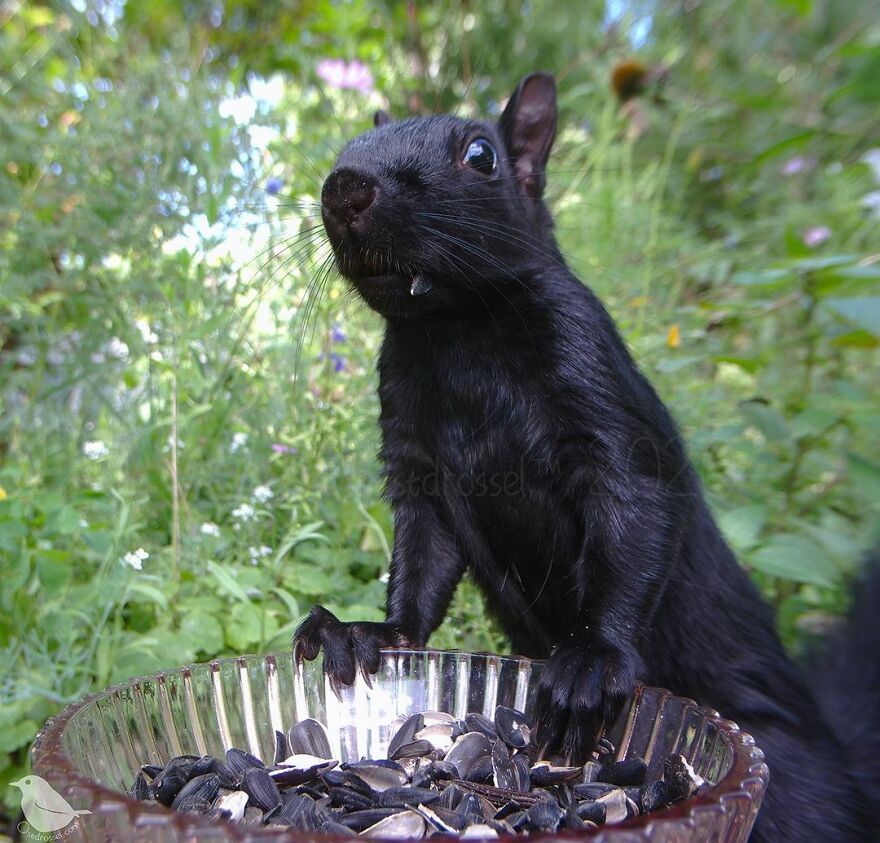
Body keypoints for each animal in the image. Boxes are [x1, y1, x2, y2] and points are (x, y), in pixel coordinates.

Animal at [294, 73, 880, 841]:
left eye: (480, 154)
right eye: (349, 144)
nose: (345, 188)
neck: (457, 333)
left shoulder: (600, 397)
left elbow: (634, 517)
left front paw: (592, 663)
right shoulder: (417, 467)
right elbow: (423, 563)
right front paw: (368, 632)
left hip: (798, 788)